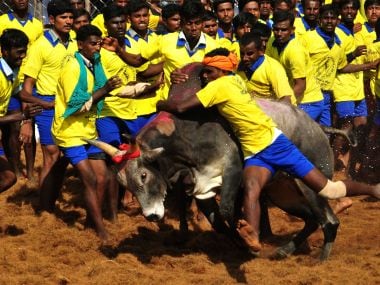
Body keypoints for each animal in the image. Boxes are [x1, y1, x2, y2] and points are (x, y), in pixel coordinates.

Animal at [87, 62, 340, 260]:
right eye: (124, 183)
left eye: (143, 175)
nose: (152, 216)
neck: (186, 133)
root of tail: (318, 129)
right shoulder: (202, 187)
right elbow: (218, 222)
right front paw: (243, 244)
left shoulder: (231, 170)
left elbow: (228, 211)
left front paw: (249, 242)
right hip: (282, 191)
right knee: (312, 219)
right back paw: (283, 250)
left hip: (309, 185)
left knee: (328, 221)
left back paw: (320, 259)